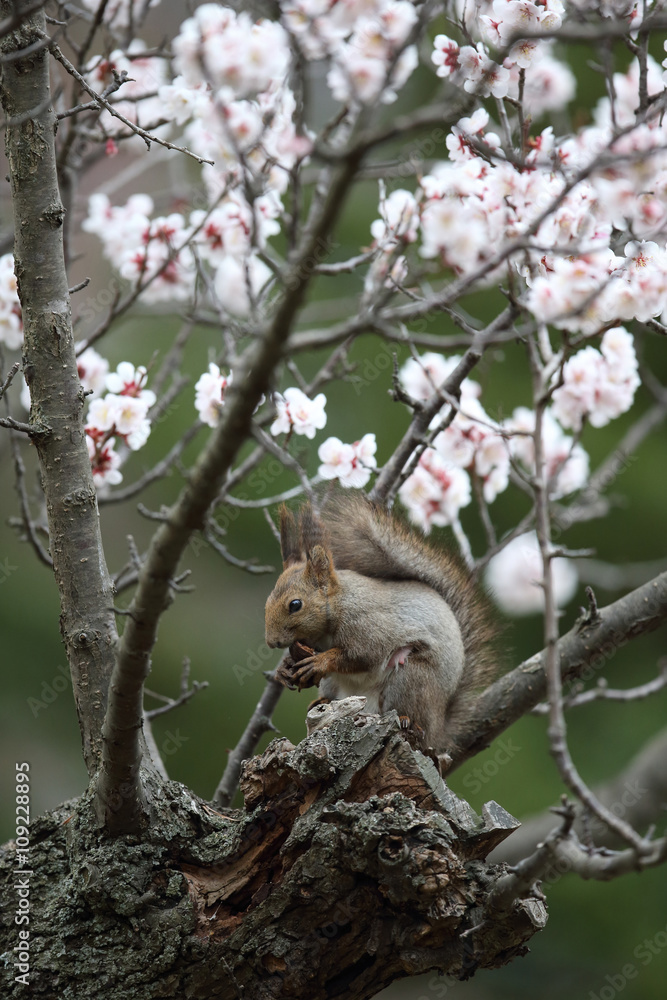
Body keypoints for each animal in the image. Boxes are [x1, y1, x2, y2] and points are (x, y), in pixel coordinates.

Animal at [264, 492, 497, 756]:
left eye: (295, 604)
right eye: (267, 601)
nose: (272, 642)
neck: (338, 604)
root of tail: (439, 728)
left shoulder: (367, 625)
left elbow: (364, 655)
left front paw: (319, 661)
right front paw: (284, 669)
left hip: (412, 678)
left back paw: (407, 720)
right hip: (333, 684)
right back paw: (322, 701)